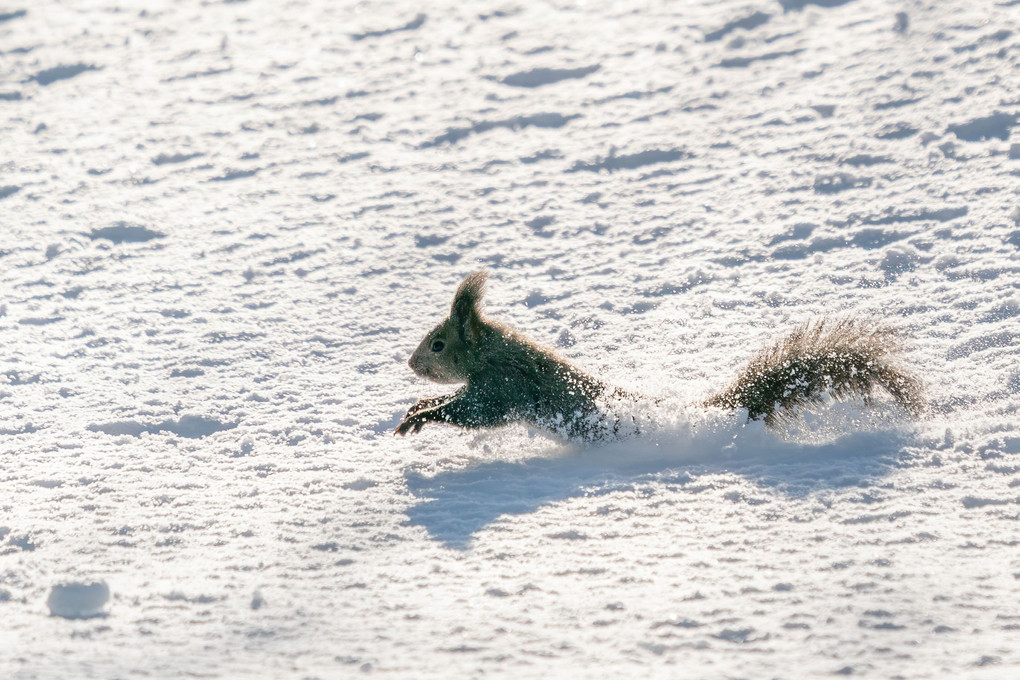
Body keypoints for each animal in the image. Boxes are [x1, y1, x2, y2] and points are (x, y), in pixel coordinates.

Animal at [391, 271, 926, 442]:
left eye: (438, 345)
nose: (412, 366)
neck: (493, 354)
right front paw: (418, 407)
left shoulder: (506, 385)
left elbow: (475, 412)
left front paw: (422, 416)